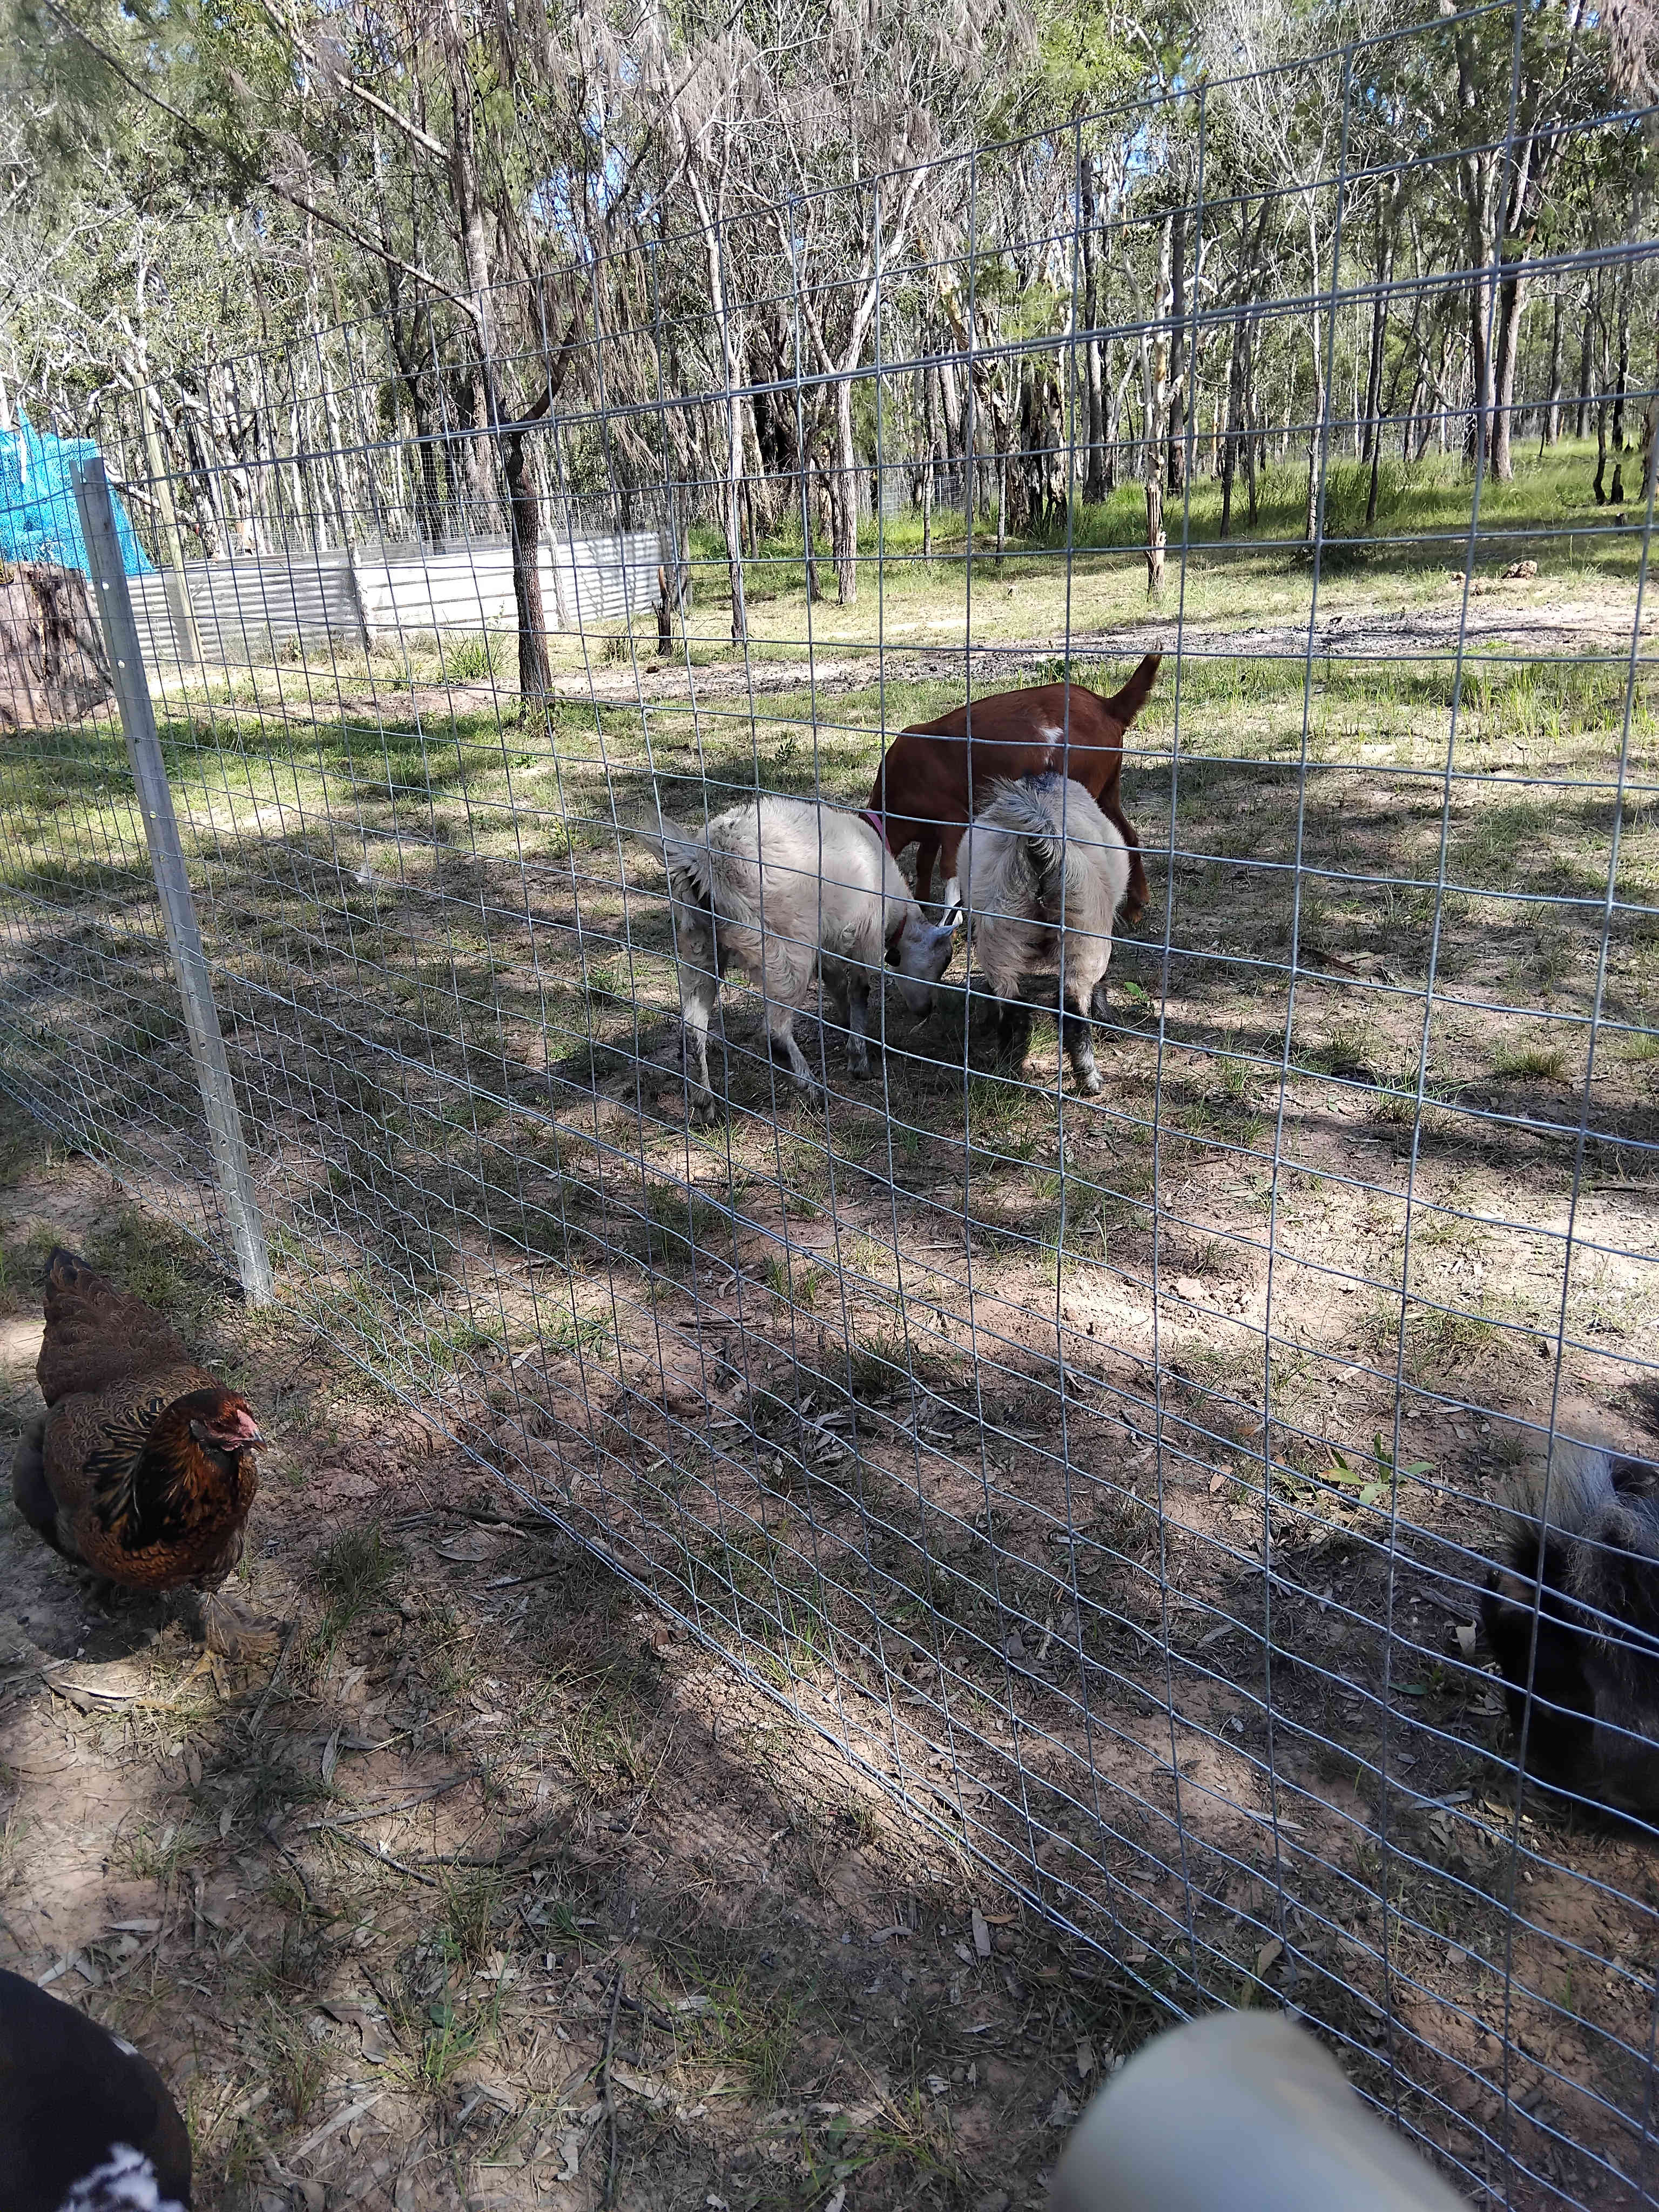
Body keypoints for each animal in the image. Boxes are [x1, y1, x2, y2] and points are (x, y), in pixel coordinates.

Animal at [637, 795, 956, 1124]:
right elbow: (860, 991)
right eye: (945, 959)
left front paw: (846, 1024)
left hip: (700, 946)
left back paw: (705, 1106)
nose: (926, 1011)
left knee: (692, 1029)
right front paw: (859, 1058)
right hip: (784, 951)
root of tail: (703, 860)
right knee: (773, 1034)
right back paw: (812, 1088)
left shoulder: (828, 942)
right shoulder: (865, 936)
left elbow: (837, 984)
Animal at [866, 654, 1160, 916]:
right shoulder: (929, 830)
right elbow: (923, 863)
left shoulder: (953, 817)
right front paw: (922, 905)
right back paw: (1135, 907)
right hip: (1106, 790)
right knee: (1128, 836)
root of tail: (1106, 706)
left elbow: (947, 867)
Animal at [949, 773, 1130, 1098]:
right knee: (1073, 1005)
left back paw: (1008, 1067)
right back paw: (1091, 1080)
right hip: (1086, 933)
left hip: (1000, 930)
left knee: (1012, 1003)